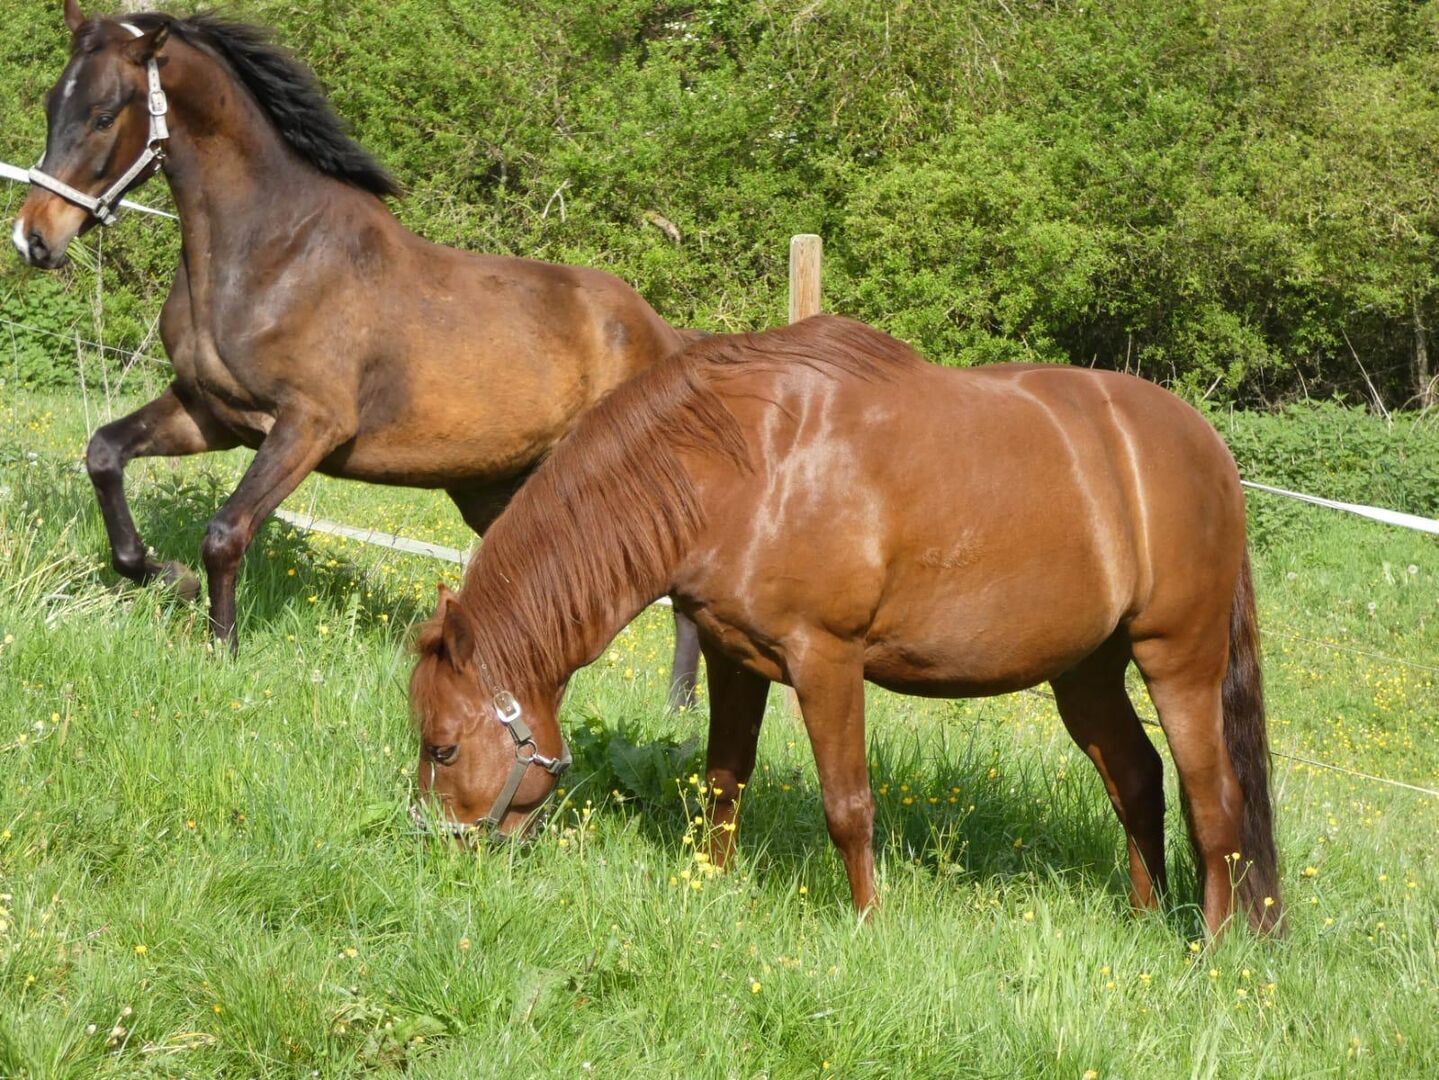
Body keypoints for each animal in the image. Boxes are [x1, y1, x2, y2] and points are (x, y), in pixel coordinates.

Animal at [10, 2, 700, 703]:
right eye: (51, 104)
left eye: (103, 114)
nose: (33, 238)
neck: (274, 255)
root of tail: (669, 339)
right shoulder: (210, 413)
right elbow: (105, 455)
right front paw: (165, 574)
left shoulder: (309, 425)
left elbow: (226, 533)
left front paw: (222, 651)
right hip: (496, 489)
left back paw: (674, 708)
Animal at [408, 314, 1283, 937]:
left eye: (441, 746)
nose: (437, 851)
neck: (743, 465)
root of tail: (1208, 450)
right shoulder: (733, 658)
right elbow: (723, 778)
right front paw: (712, 884)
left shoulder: (826, 661)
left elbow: (847, 804)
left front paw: (866, 925)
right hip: (1085, 671)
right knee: (1136, 778)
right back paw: (1142, 919)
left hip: (1178, 661)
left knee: (1215, 802)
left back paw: (1207, 949)